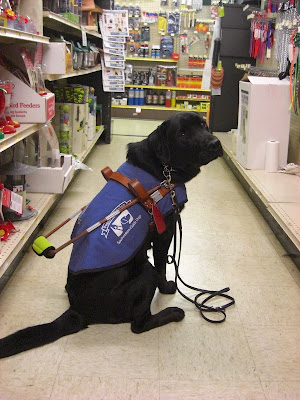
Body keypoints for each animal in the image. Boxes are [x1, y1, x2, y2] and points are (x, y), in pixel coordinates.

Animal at [0, 111, 223, 358]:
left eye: (203, 124)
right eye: (182, 134)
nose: (215, 143)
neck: (164, 169)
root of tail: (77, 310)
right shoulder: (164, 231)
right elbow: (162, 266)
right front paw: (166, 288)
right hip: (145, 275)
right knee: (139, 323)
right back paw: (173, 313)